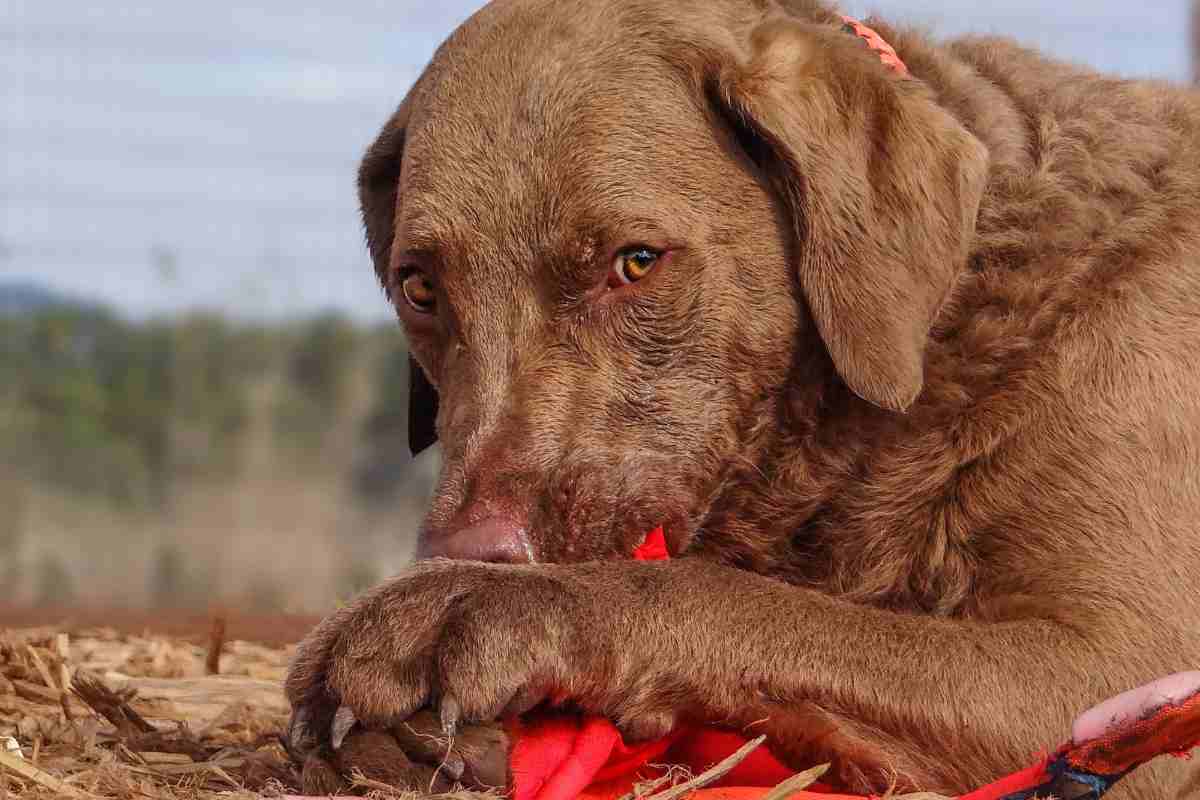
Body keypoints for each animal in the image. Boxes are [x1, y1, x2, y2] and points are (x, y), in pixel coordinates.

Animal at [285, 3, 1200, 796]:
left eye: (636, 261)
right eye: (420, 288)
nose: (472, 550)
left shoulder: (1117, 671)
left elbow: (720, 595)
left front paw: (476, 607)